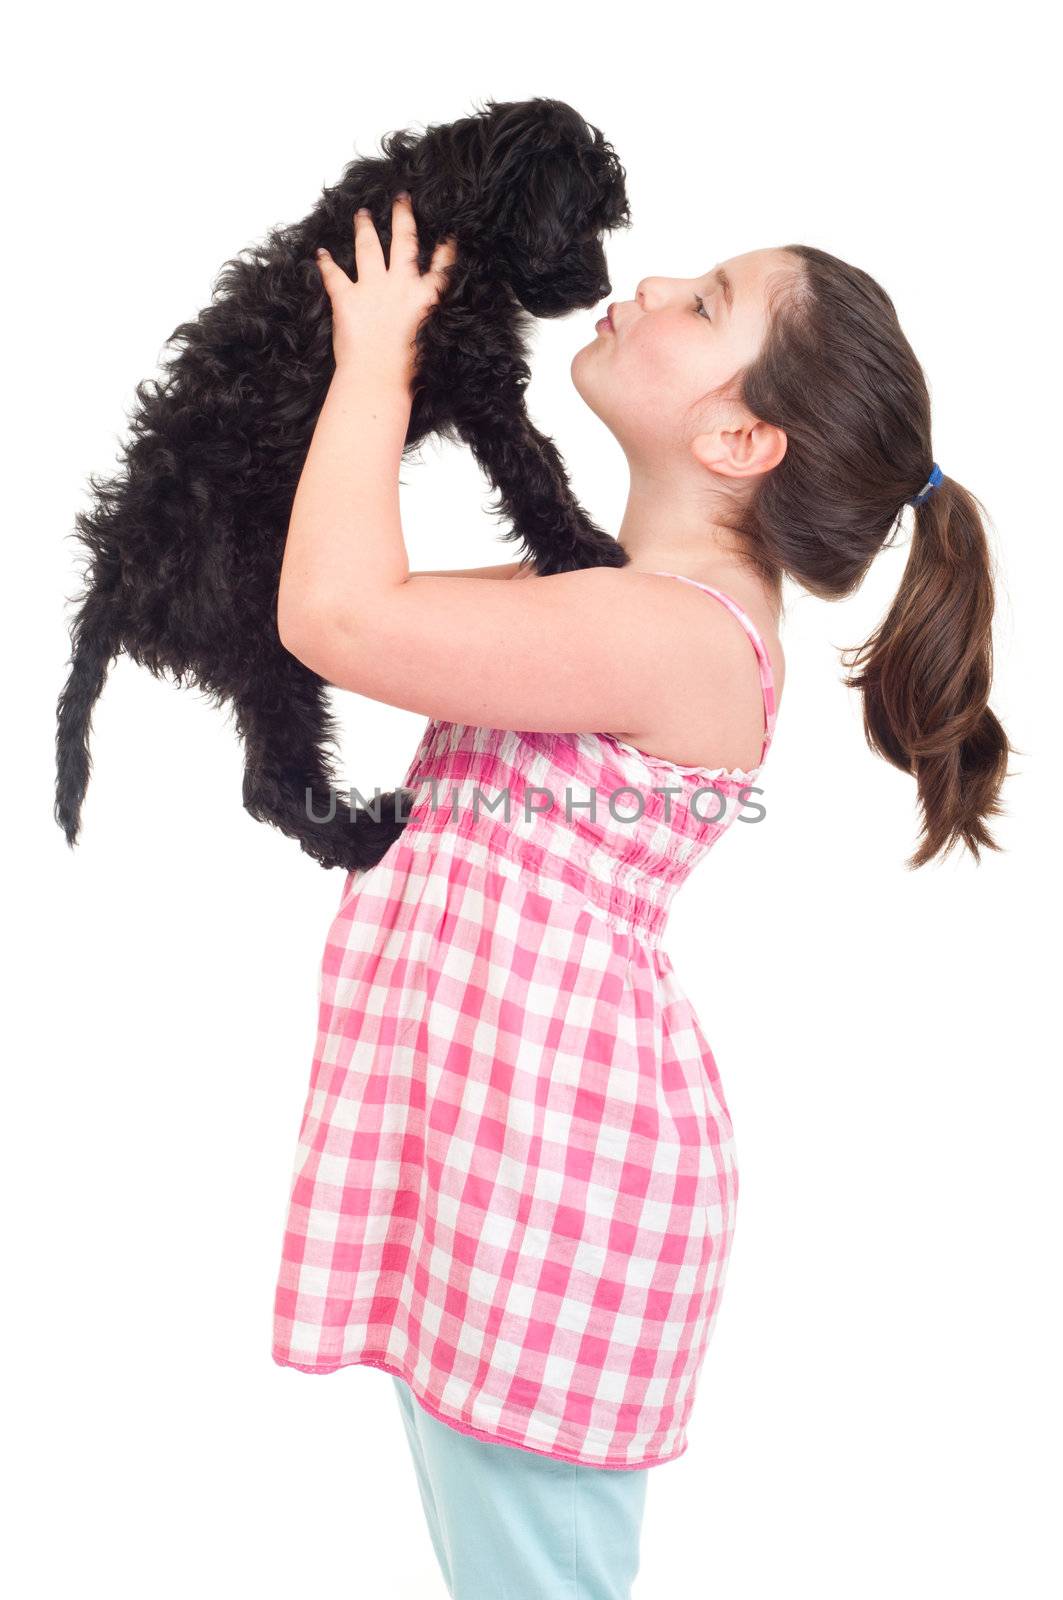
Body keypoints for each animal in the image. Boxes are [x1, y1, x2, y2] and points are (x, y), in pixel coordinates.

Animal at [56, 96, 630, 876]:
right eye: (585, 220)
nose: (603, 289)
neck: (443, 199)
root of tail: (115, 573)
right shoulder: (476, 374)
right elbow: (535, 472)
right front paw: (588, 555)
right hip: (265, 636)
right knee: (271, 781)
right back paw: (368, 835)